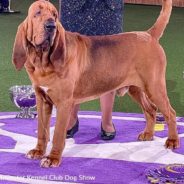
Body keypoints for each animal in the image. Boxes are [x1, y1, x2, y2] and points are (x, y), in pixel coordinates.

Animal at [12, 0, 179, 167]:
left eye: (54, 15)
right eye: (37, 13)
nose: (51, 26)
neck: (43, 60)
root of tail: (149, 34)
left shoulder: (64, 103)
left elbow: (58, 134)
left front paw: (53, 158)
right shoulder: (42, 100)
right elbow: (42, 130)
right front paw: (38, 151)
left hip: (154, 87)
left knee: (170, 113)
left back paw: (172, 140)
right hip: (136, 89)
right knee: (151, 110)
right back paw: (148, 134)